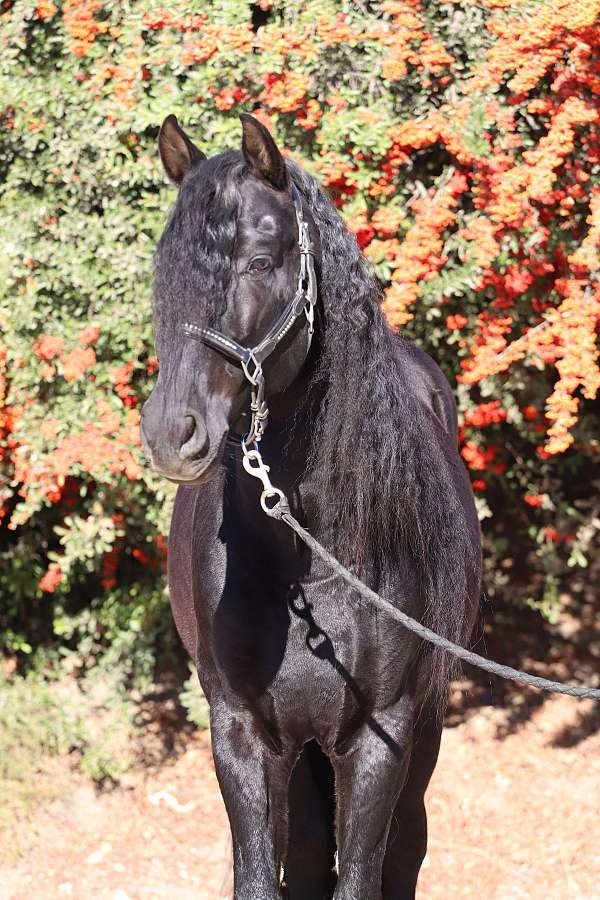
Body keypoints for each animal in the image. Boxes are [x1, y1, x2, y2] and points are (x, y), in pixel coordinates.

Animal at [142, 114, 482, 900]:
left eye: (262, 261)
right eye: (163, 271)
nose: (172, 434)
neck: (310, 560)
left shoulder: (379, 738)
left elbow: (362, 875)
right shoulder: (242, 734)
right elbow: (264, 876)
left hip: (422, 734)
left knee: (406, 847)